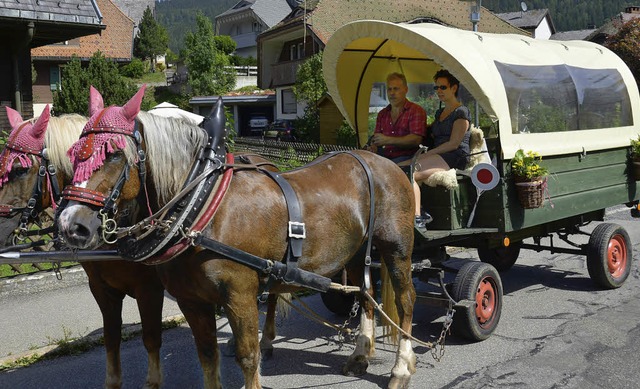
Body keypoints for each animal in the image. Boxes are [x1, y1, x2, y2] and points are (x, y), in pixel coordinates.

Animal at [57, 87, 418, 388]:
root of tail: (380, 160)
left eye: (113, 154)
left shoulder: (239, 296)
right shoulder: (192, 301)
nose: (70, 224)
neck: (201, 205)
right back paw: (360, 354)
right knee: (366, 294)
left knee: (405, 300)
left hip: (397, 249)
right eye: (74, 154)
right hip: (356, 253)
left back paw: (401, 367)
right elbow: (207, 357)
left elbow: (248, 357)